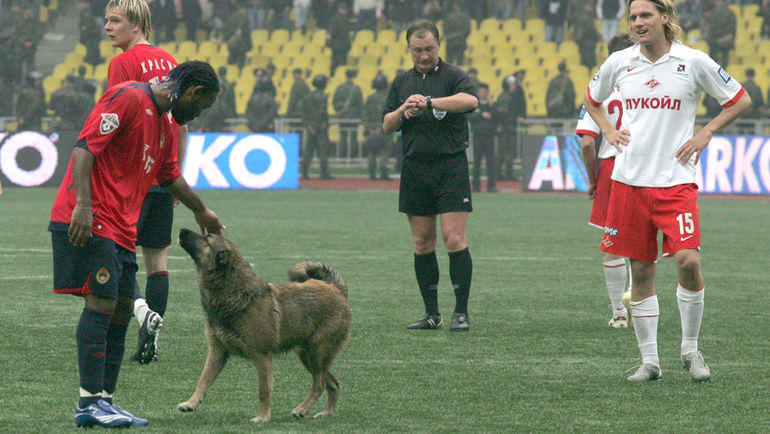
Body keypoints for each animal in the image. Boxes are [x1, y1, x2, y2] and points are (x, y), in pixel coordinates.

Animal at [176, 229, 350, 422]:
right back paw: (326, 413)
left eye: (206, 238)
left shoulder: (262, 356)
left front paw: (262, 417)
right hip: (308, 356)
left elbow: (264, 390)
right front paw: (191, 403)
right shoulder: (217, 352)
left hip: (317, 353)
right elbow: (203, 380)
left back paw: (302, 409)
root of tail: (335, 288)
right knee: (333, 383)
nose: (181, 230)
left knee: (319, 384)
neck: (235, 292)